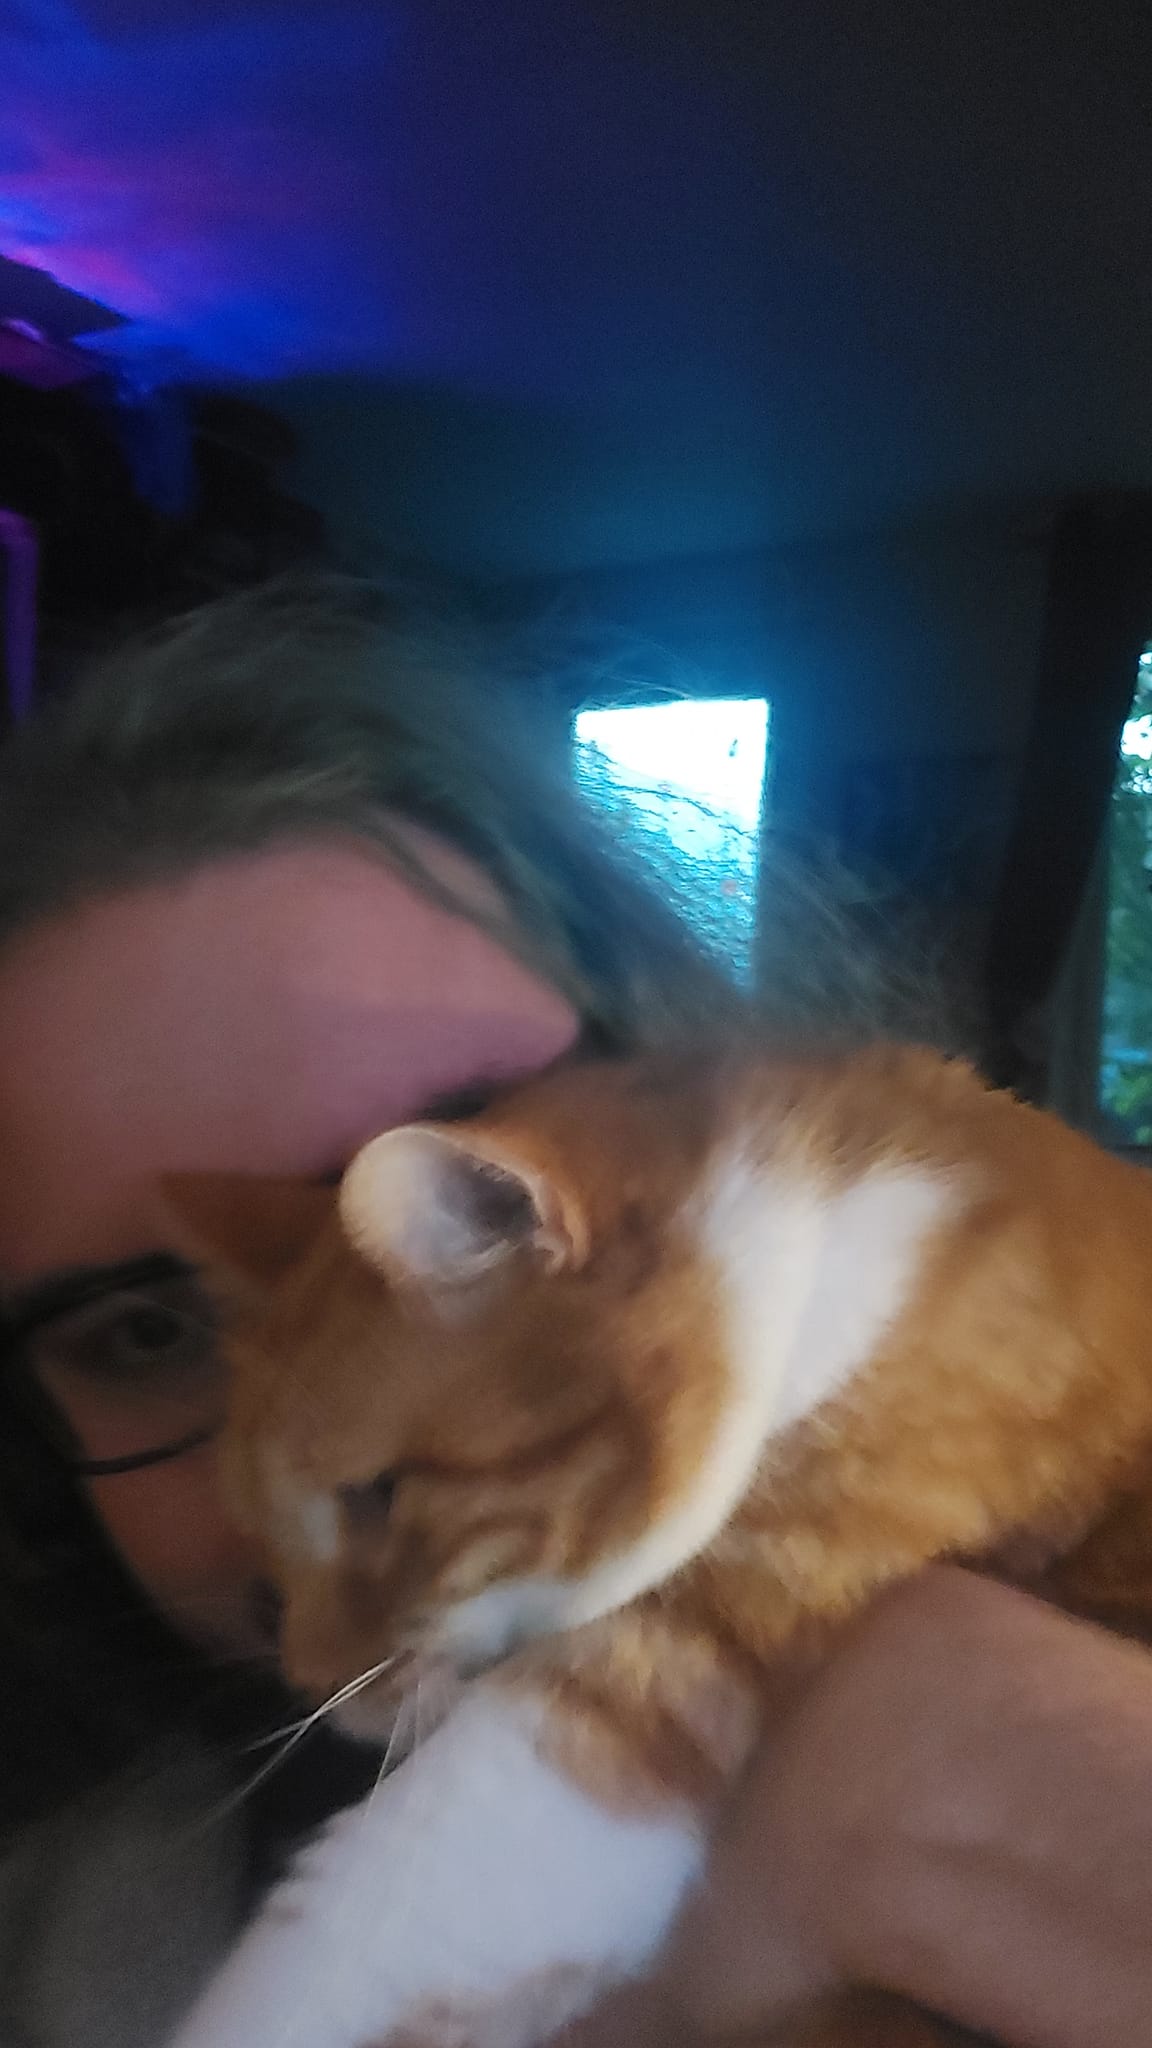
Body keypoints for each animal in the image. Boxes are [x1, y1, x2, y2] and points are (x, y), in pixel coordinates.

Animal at [166, 1048, 1147, 2039]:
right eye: (265, 1544)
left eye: (375, 1496)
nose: (309, 1684)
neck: (827, 1251)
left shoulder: (668, 1651)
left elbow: (363, 1921)